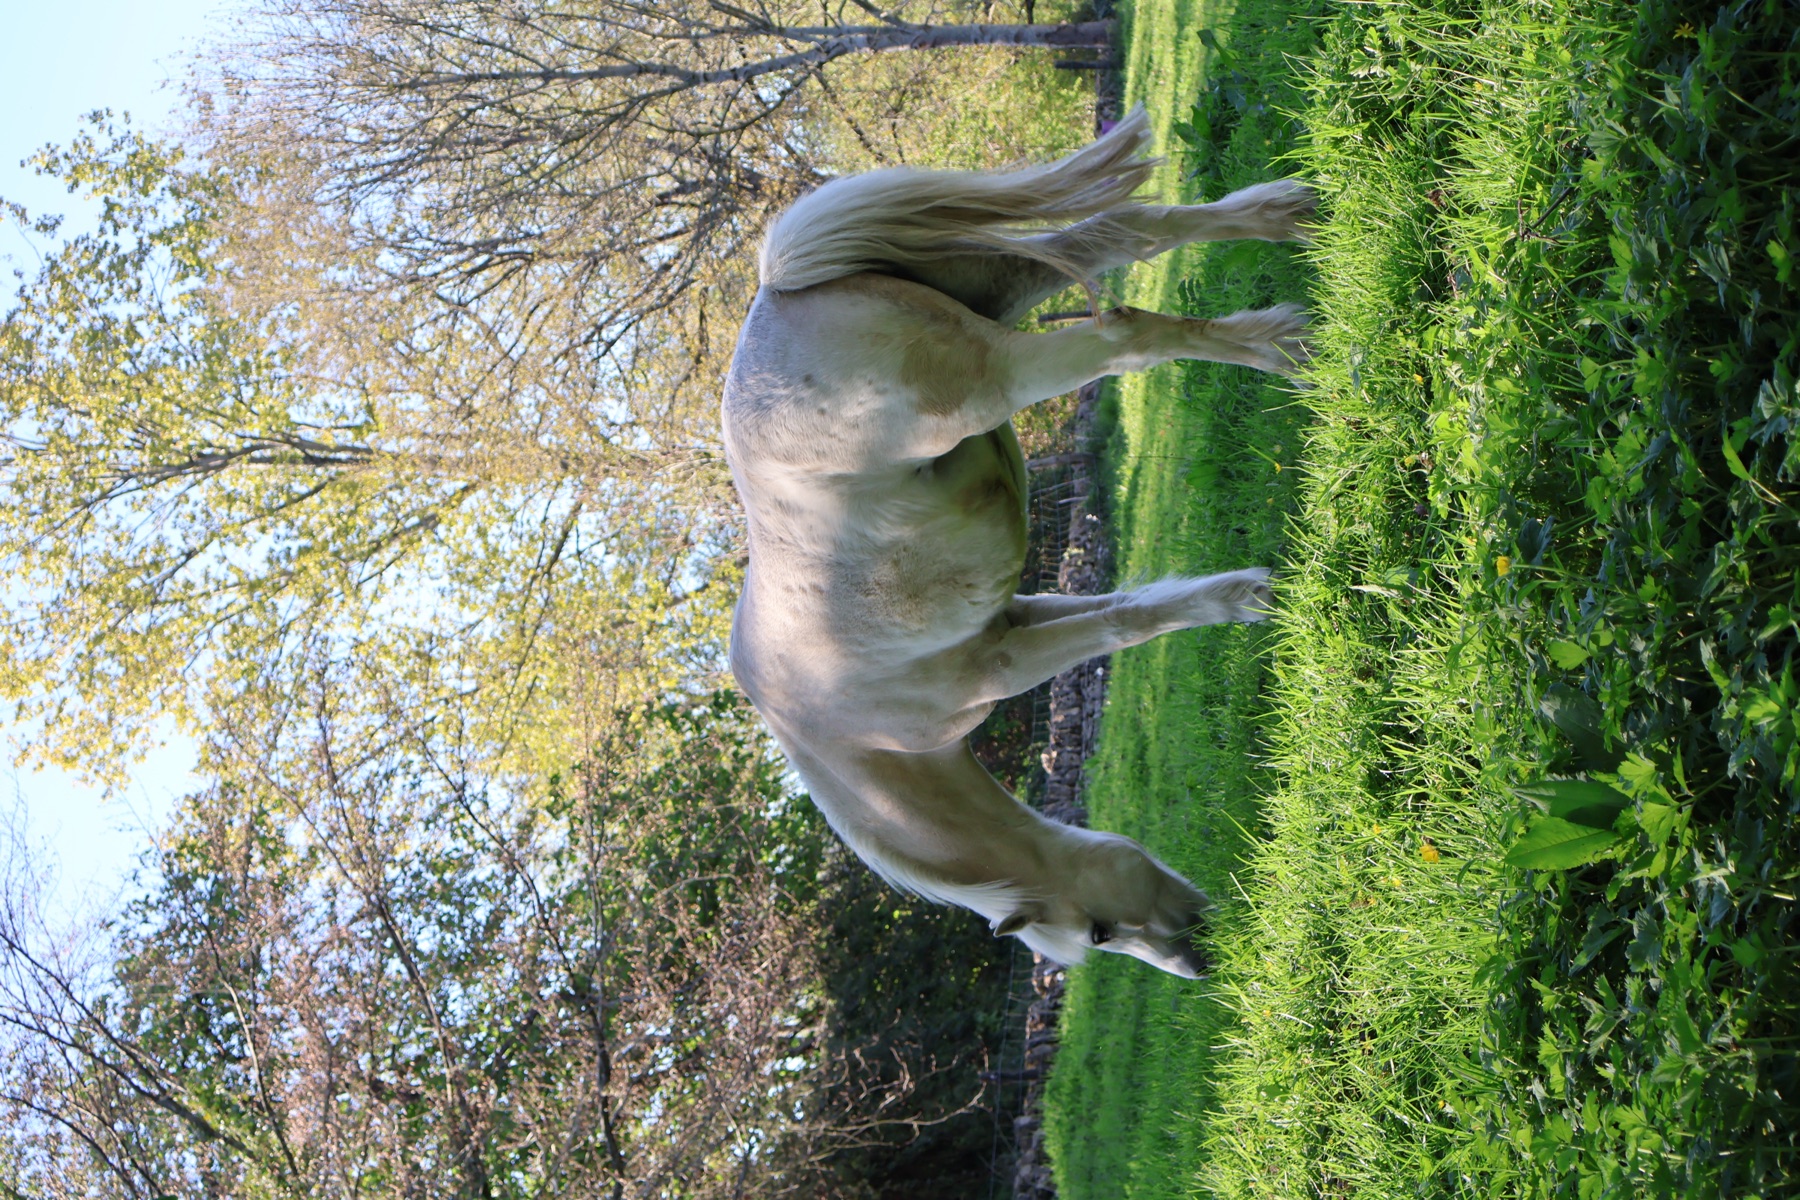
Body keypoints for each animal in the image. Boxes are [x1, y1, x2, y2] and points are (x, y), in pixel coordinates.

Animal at [720, 109, 1312, 977]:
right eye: (1101, 935)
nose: (1200, 958)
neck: (850, 736)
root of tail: (776, 294)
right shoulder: (1019, 617)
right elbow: (1138, 608)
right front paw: (1245, 599)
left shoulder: (1001, 662)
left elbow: (1121, 627)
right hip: (1001, 280)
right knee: (1124, 234)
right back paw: (1284, 218)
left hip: (998, 372)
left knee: (1127, 337)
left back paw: (1282, 347)